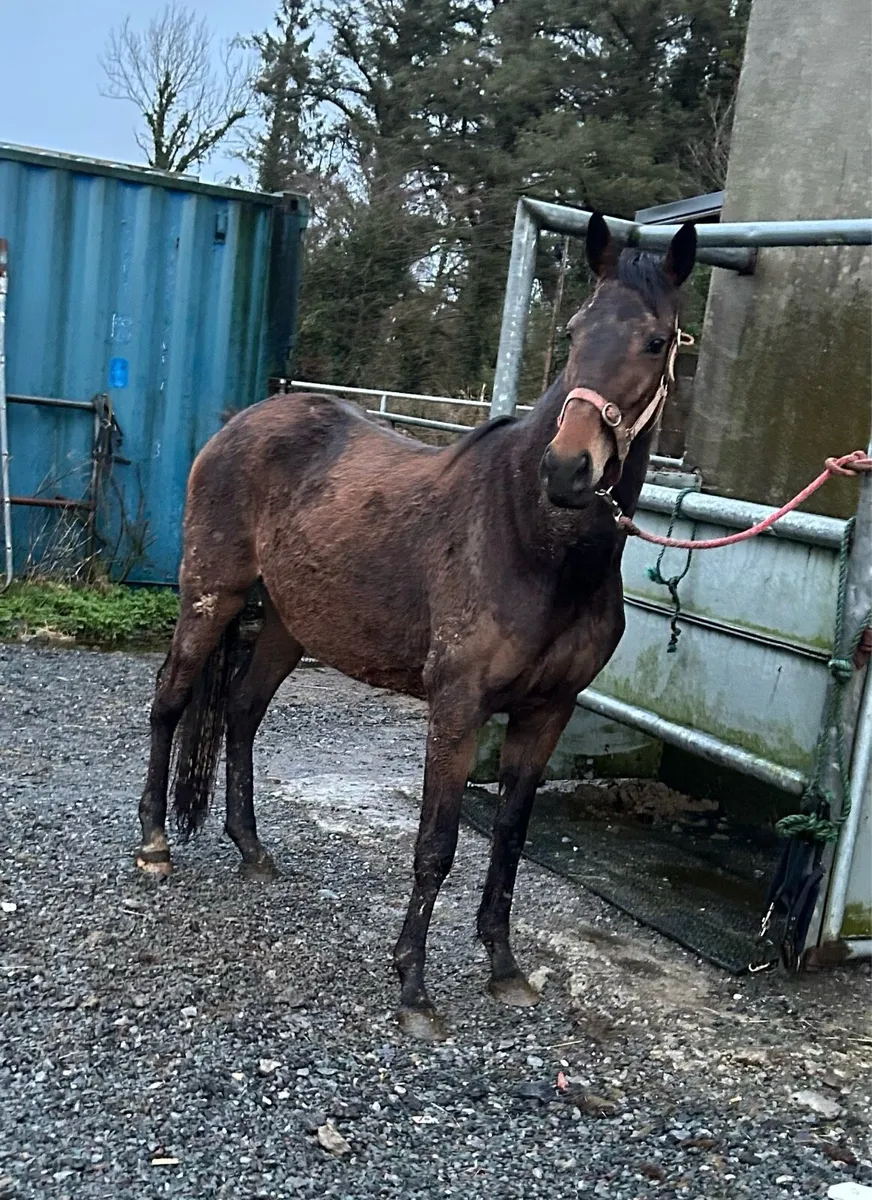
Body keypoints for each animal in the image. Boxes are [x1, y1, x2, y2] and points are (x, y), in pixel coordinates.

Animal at [136, 212, 697, 1041]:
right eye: (573, 331)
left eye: (656, 340)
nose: (567, 470)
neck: (534, 542)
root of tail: (244, 421)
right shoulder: (458, 707)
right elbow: (436, 844)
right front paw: (414, 988)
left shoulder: (547, 712)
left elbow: (510, 836)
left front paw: (504, 968)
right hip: (212, 595)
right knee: (171, 701)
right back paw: (153, 844)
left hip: (290, 625)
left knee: (239, 709)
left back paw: (252, 848)